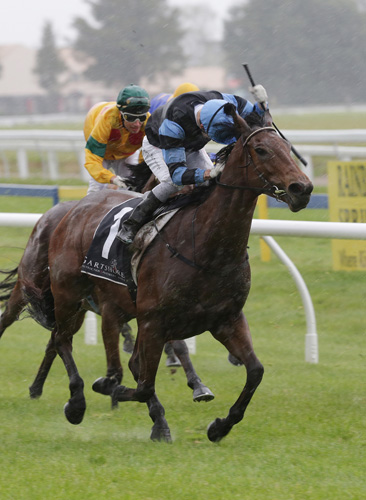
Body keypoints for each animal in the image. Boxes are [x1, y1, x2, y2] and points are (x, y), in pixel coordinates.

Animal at [0, 198, 213, 402]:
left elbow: (177, 344)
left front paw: (198, 385)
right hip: (33, 284)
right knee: (8, 317)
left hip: (74, 308)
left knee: (56, 339)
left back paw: (37, 388)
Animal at [30, 109, 314, 442]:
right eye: (261, 150)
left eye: (287, 147)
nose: (302, 189)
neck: (206, 248)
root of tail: (74, 209)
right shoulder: (153, 322)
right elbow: (140, 383)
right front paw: (110, 389)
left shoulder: (226, 319)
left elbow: (255, 371)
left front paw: (219, 426)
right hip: (69, 295)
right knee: (62, 341)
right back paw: (76, 402)